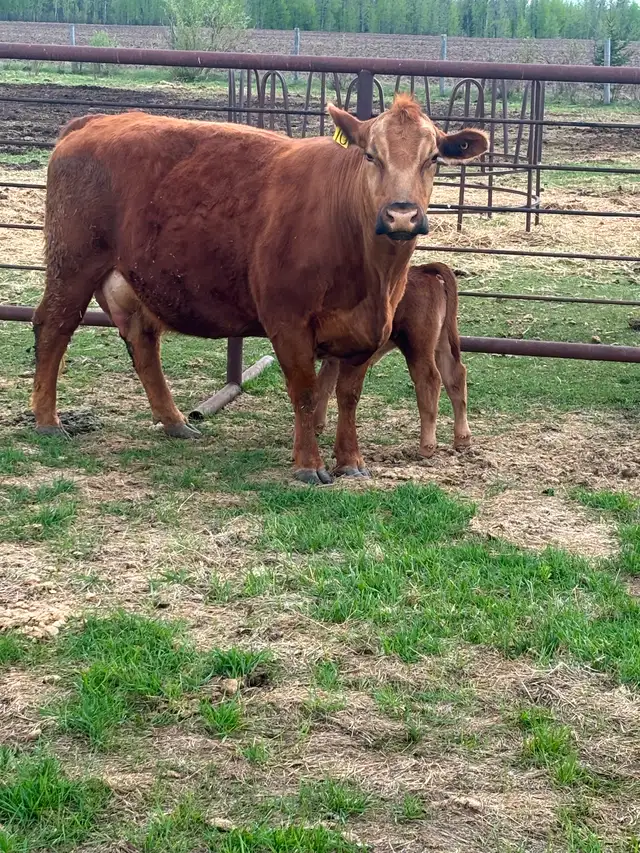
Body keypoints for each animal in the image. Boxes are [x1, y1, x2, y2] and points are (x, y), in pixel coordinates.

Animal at [313, 262, 470, 473]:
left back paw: (427, 446)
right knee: (455, 376)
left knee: (429, 379)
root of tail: (422, 270)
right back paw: (462, 439)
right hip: (442, 342)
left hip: (417, 344)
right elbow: (323, 386)